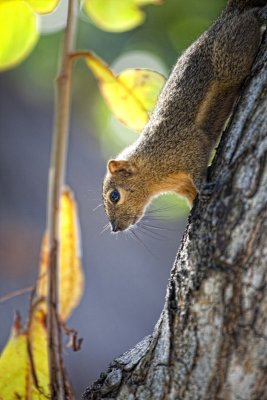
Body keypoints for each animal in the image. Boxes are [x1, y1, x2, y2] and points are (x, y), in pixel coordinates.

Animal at [101, 0, 266, 233]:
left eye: (114, 196)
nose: (115, 228)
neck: (152, 168)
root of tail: (222, 19)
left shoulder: (186, 146)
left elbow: (197, 165)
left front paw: (203, 186)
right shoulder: (183, 185)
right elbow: (191, 195)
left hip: (231, 55)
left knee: (248, 21)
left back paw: (259, 14)